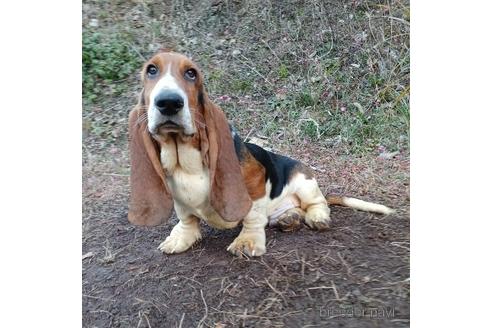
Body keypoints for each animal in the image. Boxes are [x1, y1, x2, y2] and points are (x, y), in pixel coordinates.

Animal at [127, 51, 392, 258]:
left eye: (191, 73)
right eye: (151, 70)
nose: (168, 102)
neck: (183, 157)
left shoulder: (255, 182)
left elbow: (253, 216)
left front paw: (247, 241)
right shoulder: (178, 198)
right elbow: (186, 219)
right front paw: (180, 238)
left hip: (305, 182)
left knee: (318, 203)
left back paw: (317, 217)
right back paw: (289, 218)